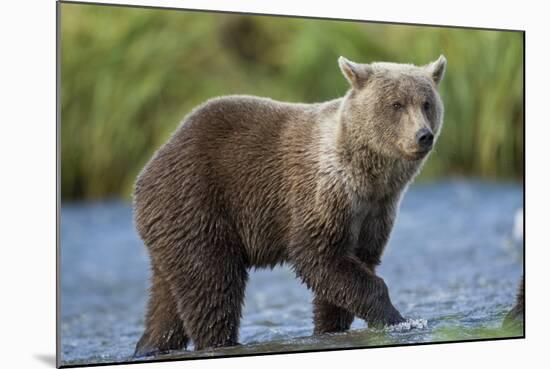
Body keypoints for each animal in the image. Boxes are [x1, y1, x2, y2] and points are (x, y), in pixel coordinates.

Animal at [133, 53, 448, 356]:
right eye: (396, 104)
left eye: (426, 103)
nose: (423, 135)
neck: (368, 178)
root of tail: (146, 172)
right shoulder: (320, 197)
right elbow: (319, 256)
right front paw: (399, 319)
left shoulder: (374, 213)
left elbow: (352, 269)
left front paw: (331, 326)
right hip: (197, 204)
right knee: (212, 284)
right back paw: (220, 341)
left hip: (174, 232)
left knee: (168, 301)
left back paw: (150, 344)